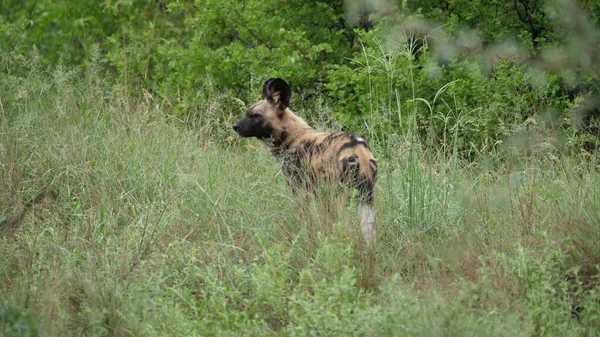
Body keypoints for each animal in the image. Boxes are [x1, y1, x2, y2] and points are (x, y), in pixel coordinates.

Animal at [232, 77, 378, 243]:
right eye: (247, 113)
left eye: (256, 116)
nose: (234, 126)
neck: (293, 137)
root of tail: (358, 148)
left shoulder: (299, 190)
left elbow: (305, 220)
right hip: (366, 201)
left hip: (340, 198)